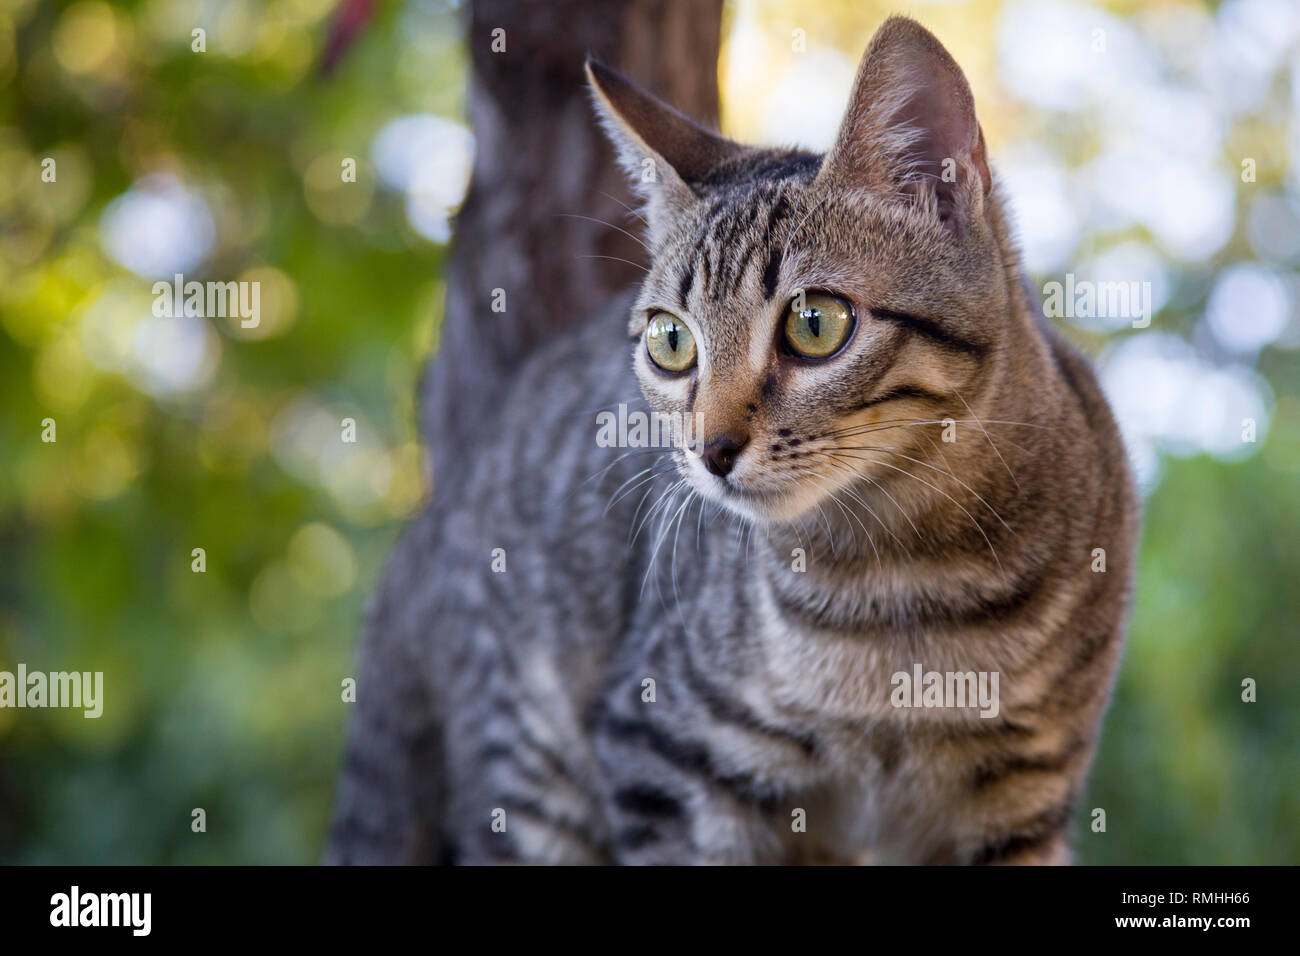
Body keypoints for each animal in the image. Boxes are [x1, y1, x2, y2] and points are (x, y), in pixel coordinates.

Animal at [327, 14, 1138, 868]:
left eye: (814, 324)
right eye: (671, 342)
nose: (711, 449)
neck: (905, 588)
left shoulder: (1023, 803)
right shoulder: (663, 759)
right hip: (527, 767)